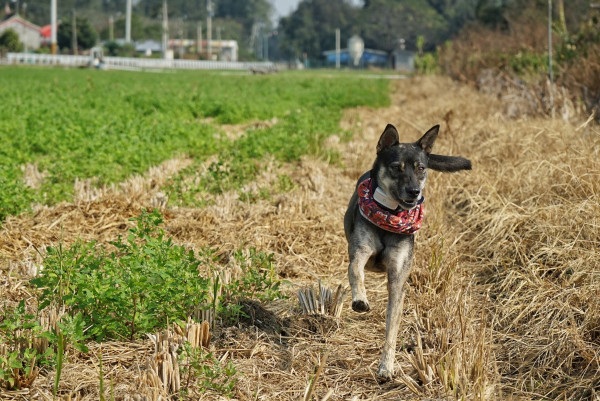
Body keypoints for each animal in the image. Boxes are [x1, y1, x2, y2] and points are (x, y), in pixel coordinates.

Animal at [344, 122, 472, 378]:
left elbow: (392, 328)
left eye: (421, 168)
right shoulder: (360, 251)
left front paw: (387, 366)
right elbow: (355, 271)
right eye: (396, 167)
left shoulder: (397, 279)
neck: (391, 214)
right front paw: (360, 298)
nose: (414, 191)